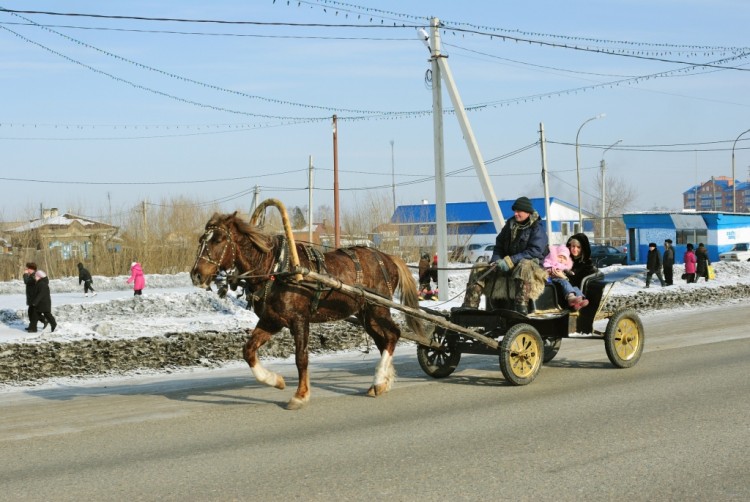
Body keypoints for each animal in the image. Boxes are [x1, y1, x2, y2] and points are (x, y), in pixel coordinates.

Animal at [191, 210, 426, 410]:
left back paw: (379, 380)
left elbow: (301, 358)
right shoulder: (271, 320)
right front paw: (276, 380)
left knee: (393, 335)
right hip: (367, 314)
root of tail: (388, 257)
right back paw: (381, 382)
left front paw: (300, 395)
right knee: (384, 340)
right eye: (202, 240)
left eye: (218, 240)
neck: (277, 269)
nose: (196, 275)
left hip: (378, 308)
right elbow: (248, 351)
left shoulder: (299, 320)